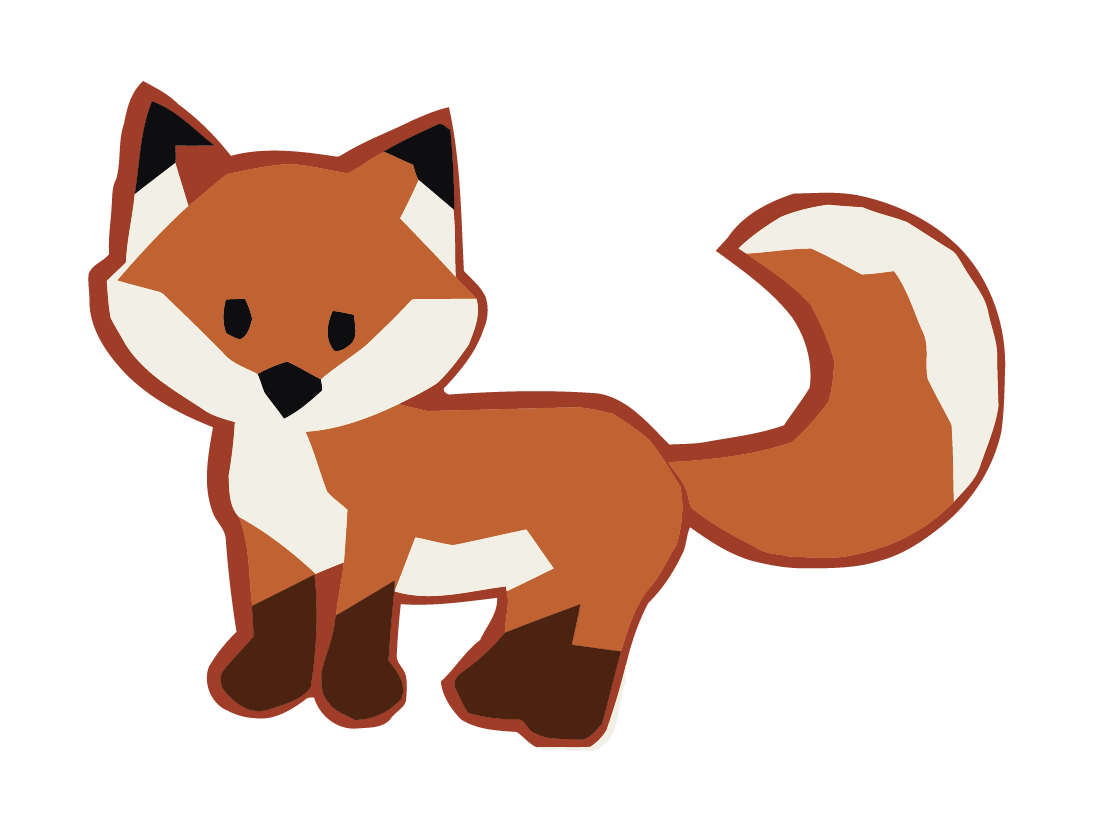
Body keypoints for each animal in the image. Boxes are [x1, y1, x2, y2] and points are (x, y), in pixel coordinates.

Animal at [89, 83, 1004, 749]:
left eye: (344, 328)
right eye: (233, 316)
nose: (287, 386)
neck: (300, 466)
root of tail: (657, 448)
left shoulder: (376, 545)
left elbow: (352, 628)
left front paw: (357, 701)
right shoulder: (268, 546)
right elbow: (277, 623)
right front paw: (259, 692)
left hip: (603, 579)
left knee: (599, 645)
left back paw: (562, 722)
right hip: (540, 572)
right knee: (533, 624)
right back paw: (487, 696)